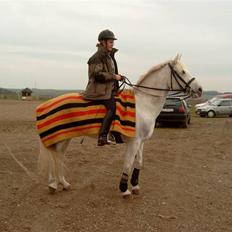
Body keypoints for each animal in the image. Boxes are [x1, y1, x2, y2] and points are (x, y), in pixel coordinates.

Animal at [37, 54, 202, 198]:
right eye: (182, 71)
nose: (200, 89)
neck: (143, 105)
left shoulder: (141, 142)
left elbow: (139, 162)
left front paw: (135, 186)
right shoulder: (133, 141)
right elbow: (128, 164)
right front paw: (124, 190)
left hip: (66, 137)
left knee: (58, 155)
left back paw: (62, 183)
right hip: (61, 137)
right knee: (55, 156)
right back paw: (53, 184)